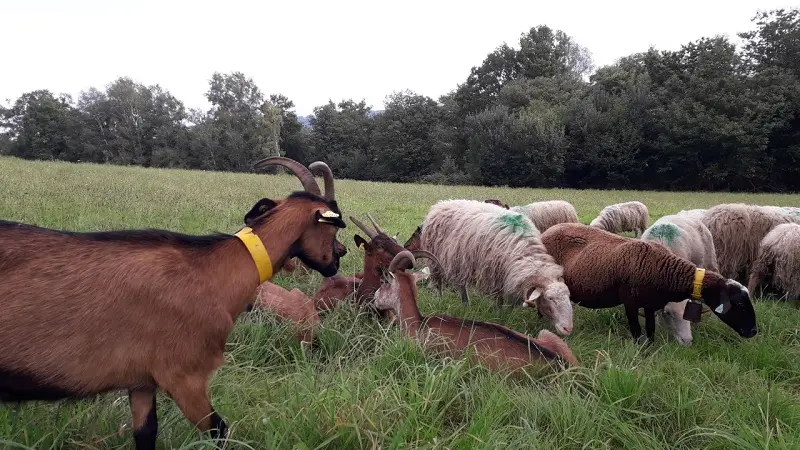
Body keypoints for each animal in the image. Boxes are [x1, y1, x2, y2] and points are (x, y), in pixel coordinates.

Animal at [0, 156, 346, 450]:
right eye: (332, 224)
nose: (338, 257)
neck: (213, 270)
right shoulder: (184, 375)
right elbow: (220, 431)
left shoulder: (141, 381)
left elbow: (146, 434)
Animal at [418, 199, 576, 336]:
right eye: (550, 298)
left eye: (568, 297)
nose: (567, 329)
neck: (523, 251)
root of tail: (441, 204)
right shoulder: (494, 275)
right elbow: (499, 300)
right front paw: (499, 315)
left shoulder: (512, 278)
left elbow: (512, 302)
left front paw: (509, 315)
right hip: (435, 261)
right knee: (439, 283)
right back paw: (440, 299)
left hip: (460, 261)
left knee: (461, 285)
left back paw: (466, 304)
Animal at [540, 223, 760, 342]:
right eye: (740, 304)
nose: (753, 332)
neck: (662, 269)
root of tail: (547, 231)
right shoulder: (630, 302)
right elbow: (637, 331)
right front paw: (640, 349)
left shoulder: (650, 304)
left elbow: (651, 328)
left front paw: (651, 347)